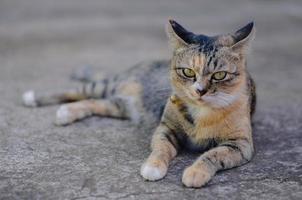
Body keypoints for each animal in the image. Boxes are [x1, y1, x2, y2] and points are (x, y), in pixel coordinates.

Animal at [22, 19, 256, 188]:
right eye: (188, 72)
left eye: (219, 75)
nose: (200, 90)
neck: (202, 112)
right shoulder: (165, 128)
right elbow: (161, 149)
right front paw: (152, 167)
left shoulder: (241, 144)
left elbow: (213, 155)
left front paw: (195, 172)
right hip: (107, 86)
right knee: (80, 91)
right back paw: (33, 98)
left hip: (118, 106)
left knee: (94, 102)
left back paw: (66, 113)